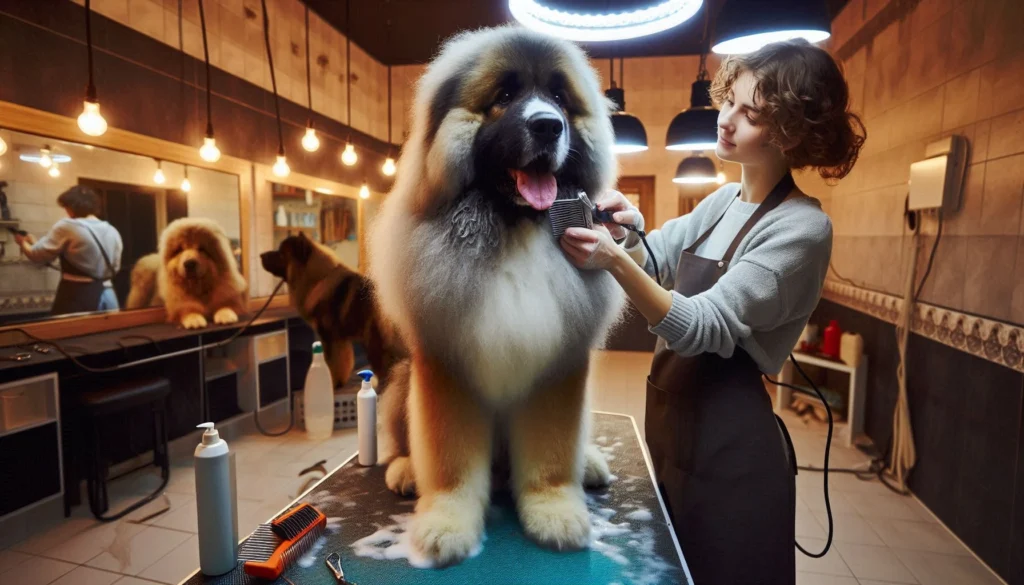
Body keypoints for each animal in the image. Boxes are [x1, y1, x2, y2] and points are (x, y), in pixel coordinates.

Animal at [370, 27, 622, 569]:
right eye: (504, 96)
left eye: (559, 99)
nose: (548, 126)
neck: (515, 228)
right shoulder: (447, 369)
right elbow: (450, 463)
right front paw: (447, 522)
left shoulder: (559, 370)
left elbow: (551, 456)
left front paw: (554, 511)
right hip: (402, 382)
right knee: (399, 437)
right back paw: (405, 470)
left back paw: (589, 463)